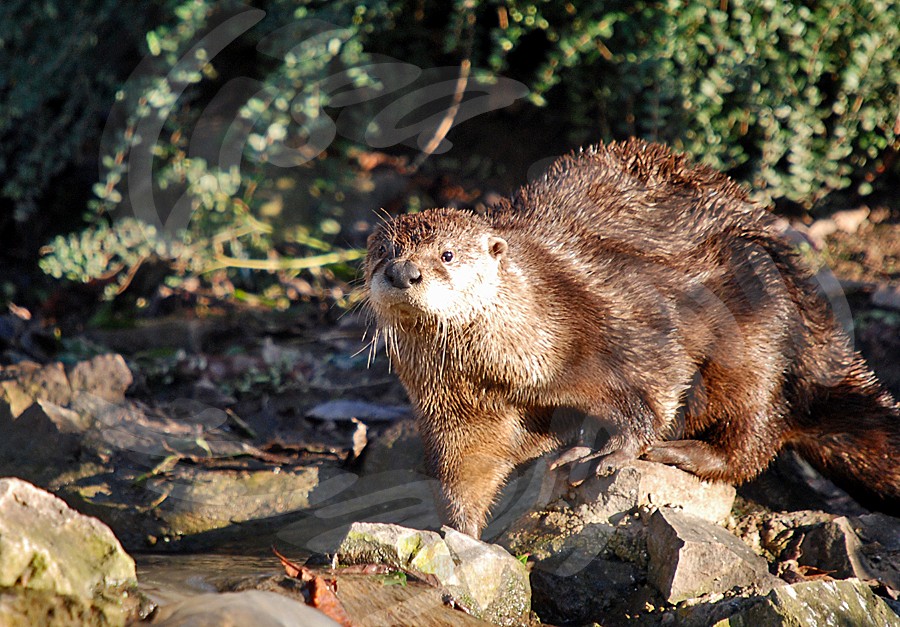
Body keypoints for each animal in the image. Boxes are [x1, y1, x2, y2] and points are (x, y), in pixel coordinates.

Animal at [364, 139, 900, 538]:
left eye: (447, 254)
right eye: (382, 252)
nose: (403, 272)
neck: (517, 361)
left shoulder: (627, 321)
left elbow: (654, 387)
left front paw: (614, 451)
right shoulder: (455, 408)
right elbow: (466, 466)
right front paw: (459, 536)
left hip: (760, 328)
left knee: (756, 430)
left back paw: (676, 451)